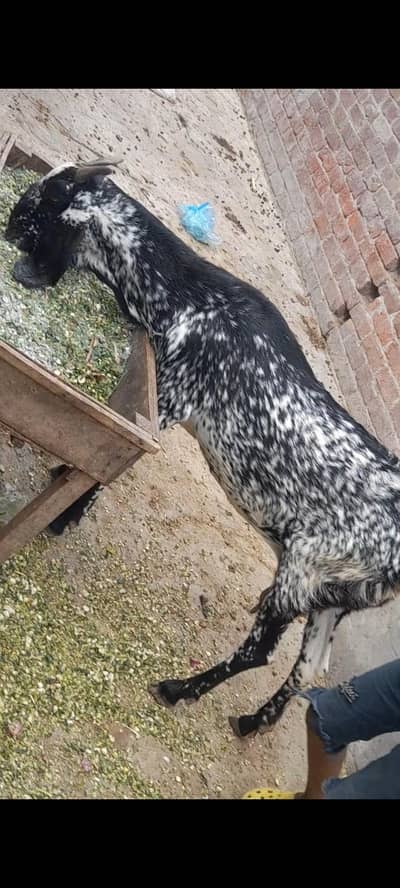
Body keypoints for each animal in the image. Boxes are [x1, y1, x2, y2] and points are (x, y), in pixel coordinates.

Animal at [5, 157, 400, 738]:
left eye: (36, 206)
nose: (9, 227)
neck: (190, 297)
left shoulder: (170, 397)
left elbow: (113, 463)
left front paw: (64, 513)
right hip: (330, 598)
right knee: (309, 668)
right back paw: (252, 721)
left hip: (301, 569)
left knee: (260, 652)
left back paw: (177, 689)